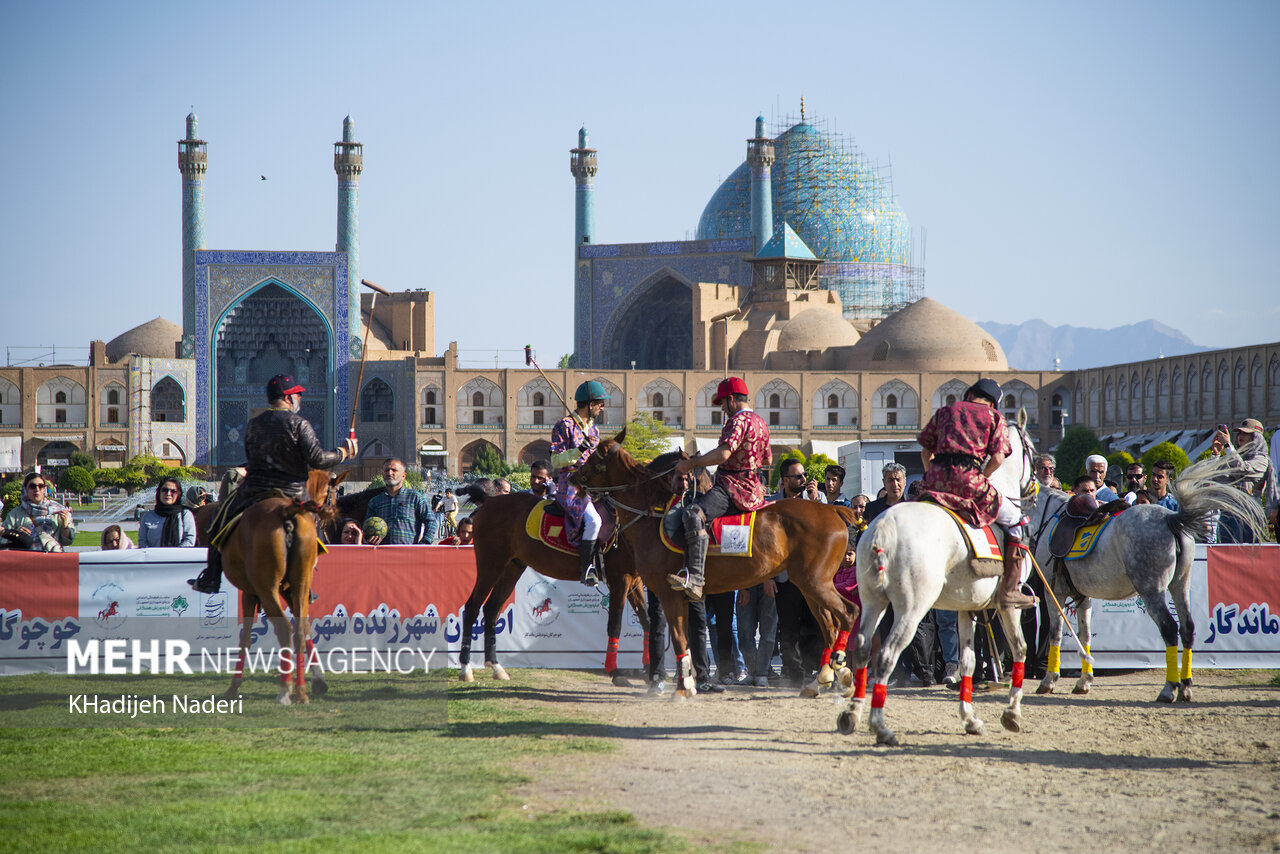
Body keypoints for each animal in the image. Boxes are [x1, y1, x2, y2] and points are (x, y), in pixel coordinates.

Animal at [188, 471, 340, 706]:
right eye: (333, 495)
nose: (329, 526)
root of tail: (287, 512)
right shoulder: (292, 590)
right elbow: (306, 629)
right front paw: (317, 680)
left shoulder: (251, 592)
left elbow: (245, 637)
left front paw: (234, 686)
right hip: (297, 583)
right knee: (297, 631)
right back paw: (300, 692)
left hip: (266, 589)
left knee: (284, 629)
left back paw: (285, 691)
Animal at [458, 491, 650, 686]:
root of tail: (490, 500)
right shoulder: (620, 580)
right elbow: (615, 625)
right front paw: (616, 672)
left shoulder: (634, 581)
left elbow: (646, 620)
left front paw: (650, 671)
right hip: (491, 565)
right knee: (472, 607)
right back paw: (466, 668)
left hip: (512, 568)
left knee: (491, 609)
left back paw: (496, 667)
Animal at [573, 437, 860, 696]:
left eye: (595, 455)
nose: (575, 476)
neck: (653, 517)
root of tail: (831, 511)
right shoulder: (671, 594)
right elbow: (684, 639)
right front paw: (688, 682)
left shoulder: (667, 592)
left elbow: (679, 638)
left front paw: (683, 688)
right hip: (809, 587)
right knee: (830, 625)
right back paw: (821, 679)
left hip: (815, 583)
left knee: (849, 613)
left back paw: (839, 664)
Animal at [839, 412, 1039, 742]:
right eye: (1031, 450)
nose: (1034, 490)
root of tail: (884, 526)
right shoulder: (1006, 606)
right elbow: (1020, 648)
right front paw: (1011, 714)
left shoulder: (967, 607)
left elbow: (969, 661)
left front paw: (970, 719)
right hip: (911, 608)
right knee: (886, 655)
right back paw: (880, 726)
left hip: (873, 601)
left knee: (864, 649)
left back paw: (851, 714)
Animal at [1029, 458, 1269, 706]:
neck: (1048, 517)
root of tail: (1171, 518)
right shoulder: (1082, 595)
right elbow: (1085, 635)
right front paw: (1084, 681)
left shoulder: (1053, 592)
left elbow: (1055, 633)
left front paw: (1049, 680)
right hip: (1180, 585)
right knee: (1187, 628)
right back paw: (1185, 687)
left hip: (1152, 590)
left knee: (1169, 628)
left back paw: (1168, 689)